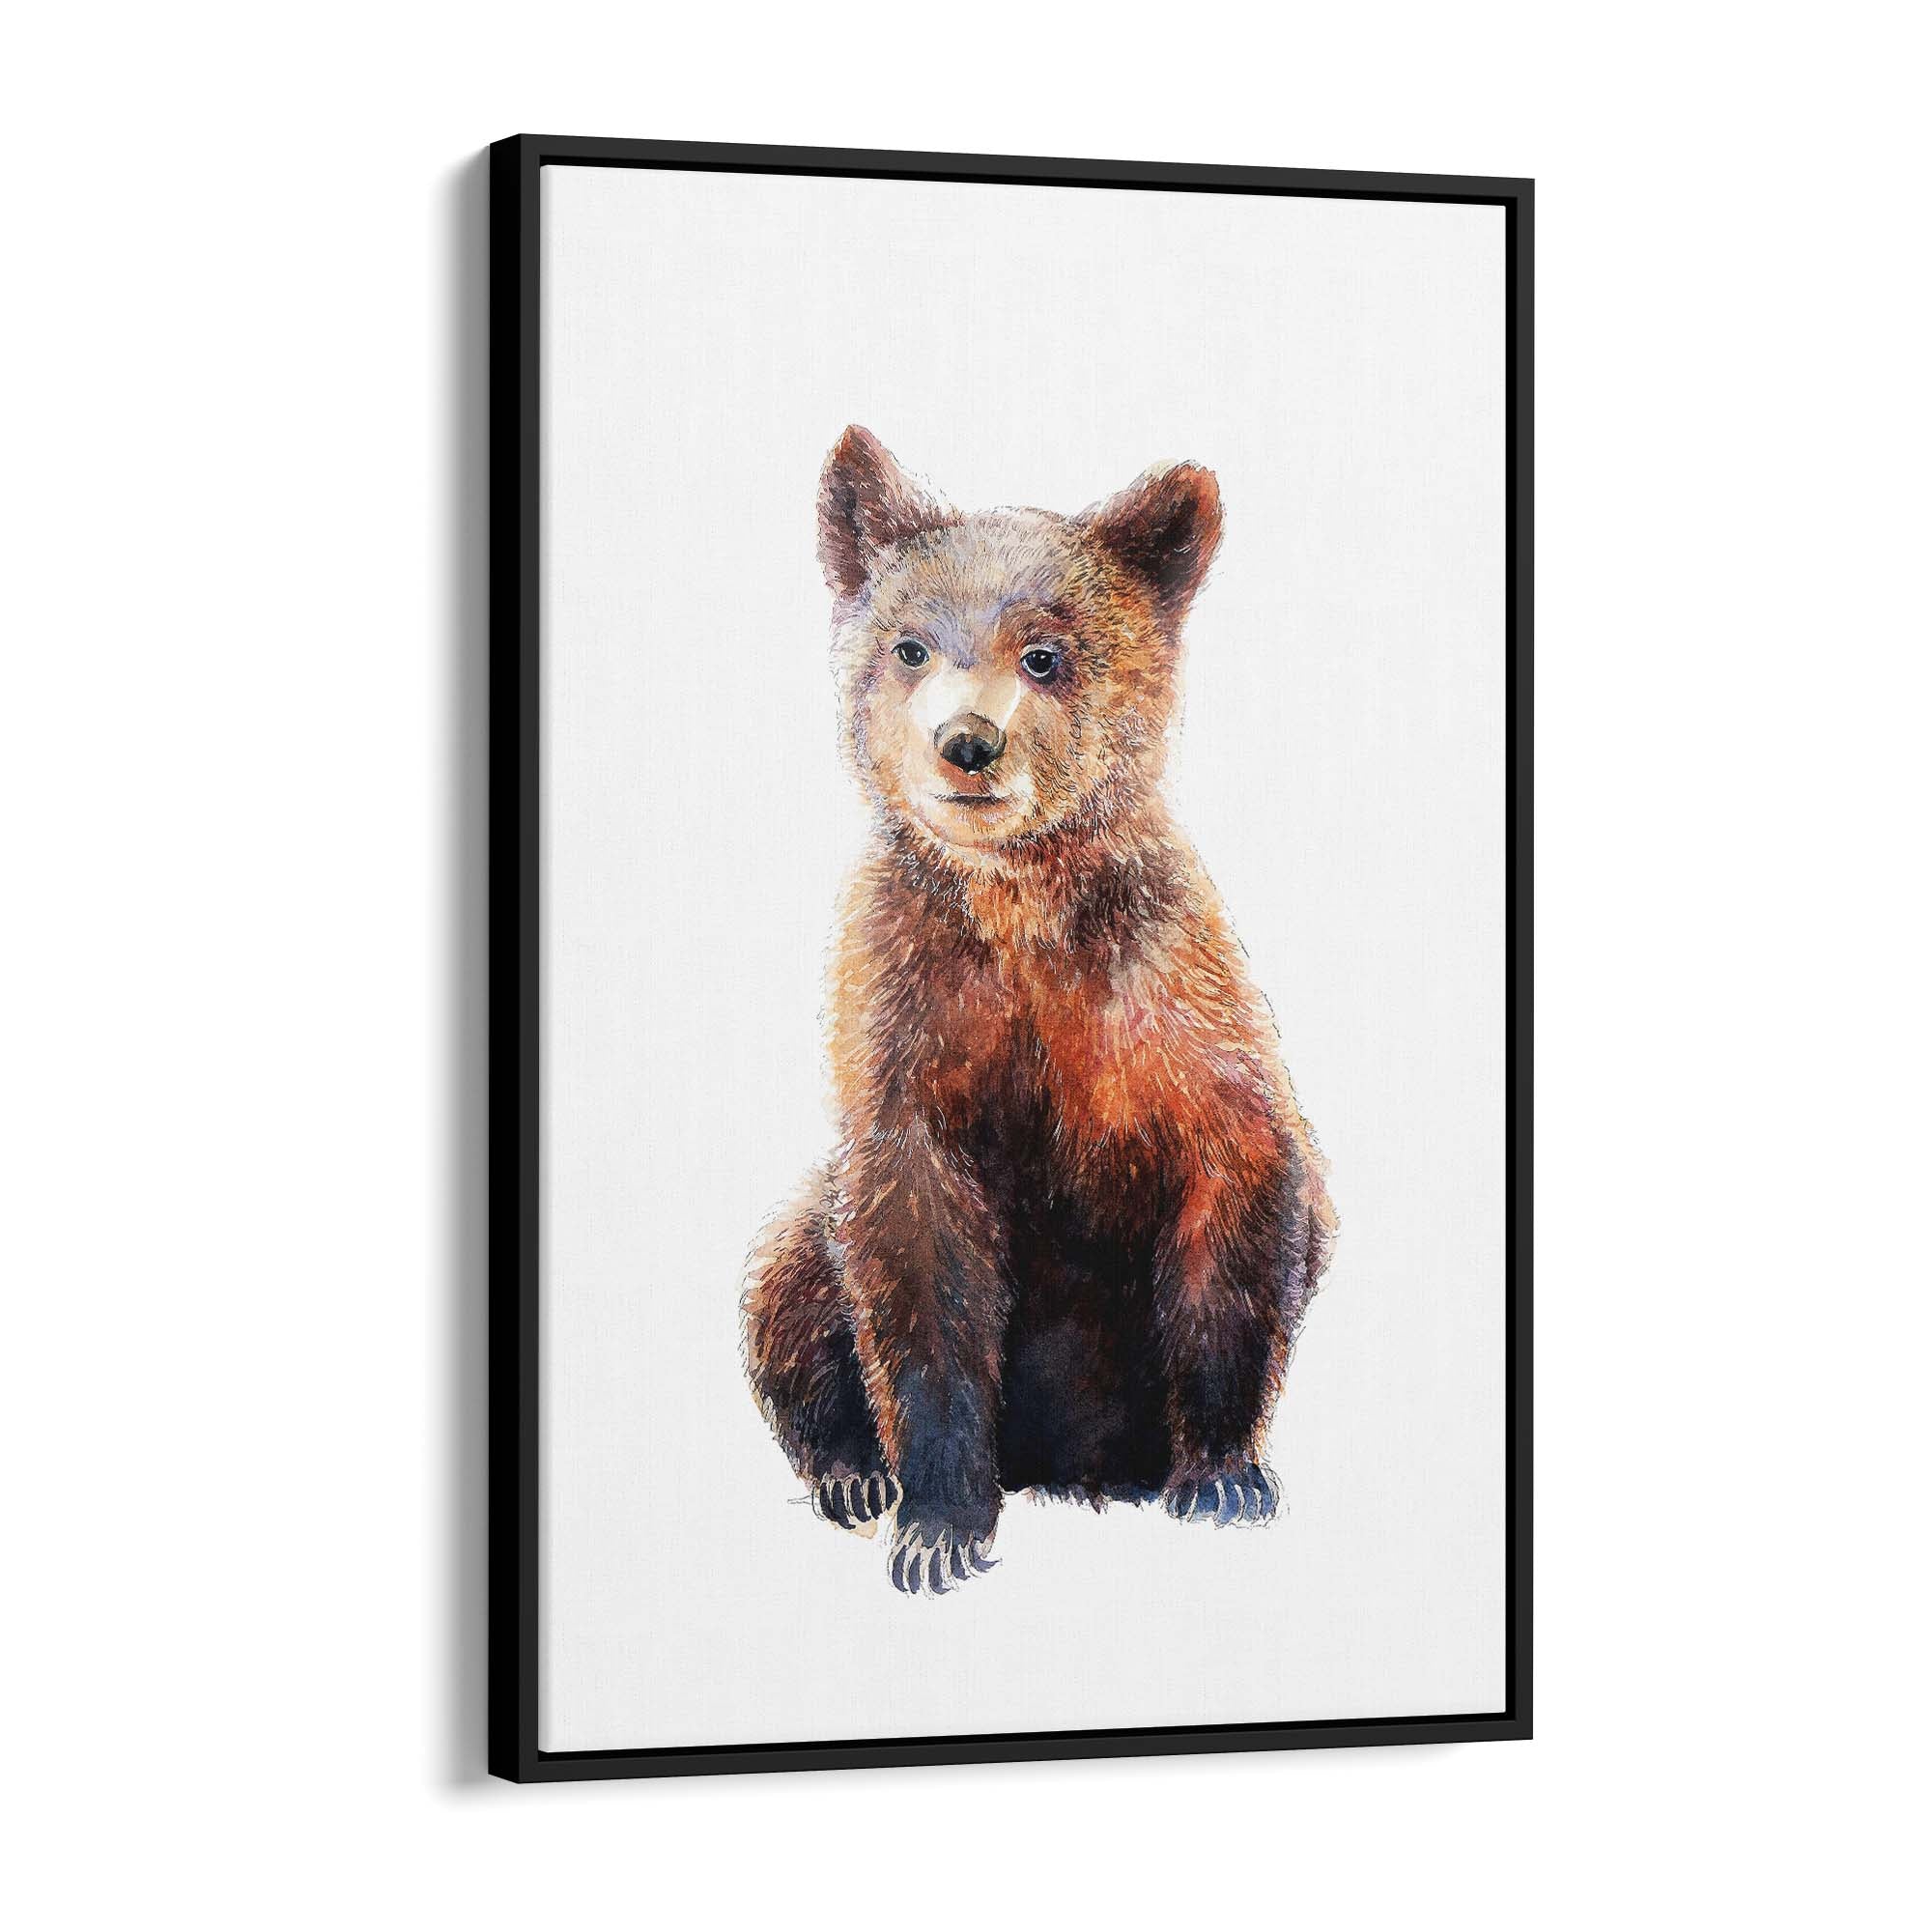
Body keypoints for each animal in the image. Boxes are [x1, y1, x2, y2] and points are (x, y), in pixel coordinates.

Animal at [742, 426, 1336, 1595]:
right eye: (910, 645)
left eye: (1046, 654)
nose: (968, 742)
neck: (1019, 908)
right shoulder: (909, 1016)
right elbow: (916, 1264)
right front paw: (934, 1523)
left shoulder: (1167, 1002)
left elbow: (1240, 1193)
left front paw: (1222, 1477)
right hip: (808, 1222)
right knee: (787, 1275)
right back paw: (849, 1472)